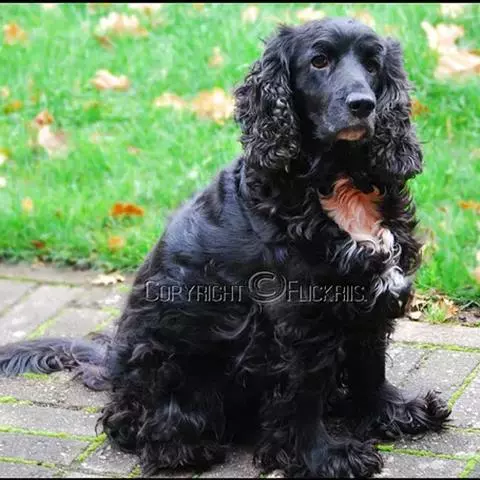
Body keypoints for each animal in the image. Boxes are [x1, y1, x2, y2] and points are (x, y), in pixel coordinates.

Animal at [0, 18, 451, 478]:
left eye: (373, 65)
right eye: (319, 61)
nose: (363, 104)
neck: (335, 185)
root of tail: (110, 367)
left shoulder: (370, 301)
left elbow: (370, 368)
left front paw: (392, 412)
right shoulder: (298, 323)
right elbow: (303, 399)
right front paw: (325, 456)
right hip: (169, 365)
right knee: (136, 427)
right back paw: (186, 449)